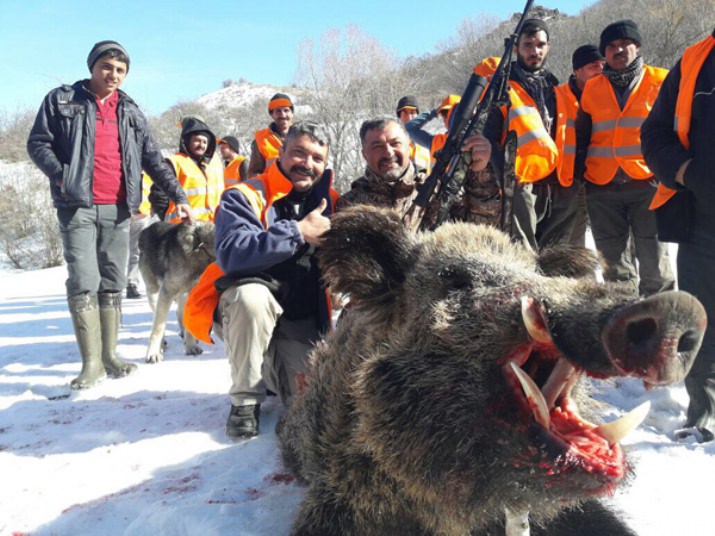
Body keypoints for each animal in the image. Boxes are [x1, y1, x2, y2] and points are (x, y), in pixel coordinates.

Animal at [139, 220, 215, 362]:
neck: (200, 247)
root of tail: (146, 229)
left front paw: (191, 346)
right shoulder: (166, 293)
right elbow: (158, 327)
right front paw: (153, 353)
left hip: (182, 295)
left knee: (180, 313)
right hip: (153, 293)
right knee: (158, 318)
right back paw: (161, 344)